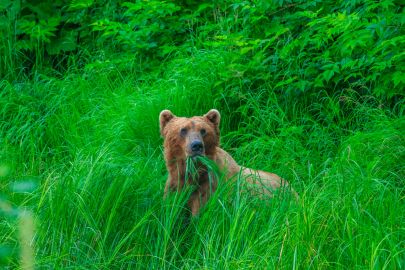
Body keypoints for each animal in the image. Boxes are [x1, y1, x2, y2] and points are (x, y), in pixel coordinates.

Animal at [159, 108, 296, 215]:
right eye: (183, 130)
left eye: (203, 130)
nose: (196, 146)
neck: (192, 173)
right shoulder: (174, 184)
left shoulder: (210, 187)